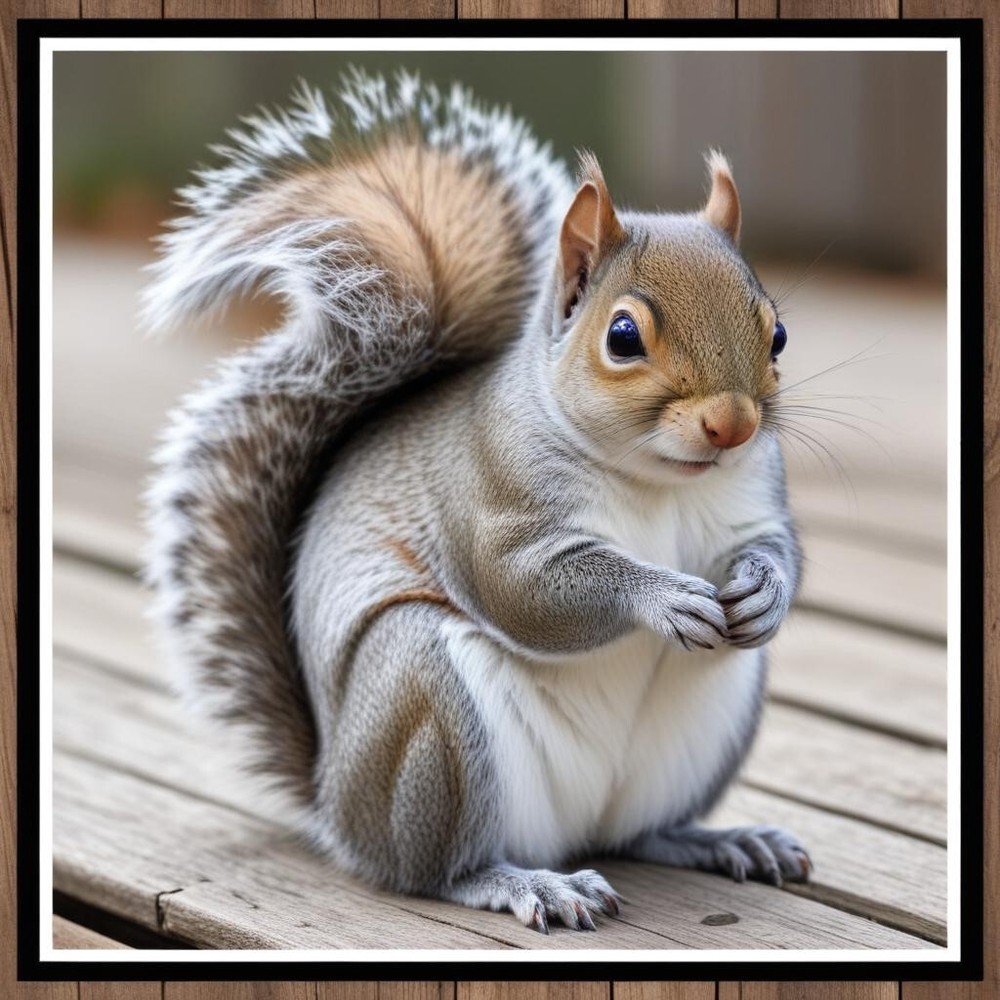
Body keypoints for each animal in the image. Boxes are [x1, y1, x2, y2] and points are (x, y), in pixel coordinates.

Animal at [143, 70, 811, 934]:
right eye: (623, 337)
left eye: (778, 333)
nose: (733, 425)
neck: (659, 480)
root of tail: (336, 806)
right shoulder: (495, 497)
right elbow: (527, 588)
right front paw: (662, 597)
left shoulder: (756, 495)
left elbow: (778, 547)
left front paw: (764, 591)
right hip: (427, 707)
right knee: (434, 870)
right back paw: (527, 883)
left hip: (703, 735)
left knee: (638, 833)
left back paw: (719, 839)